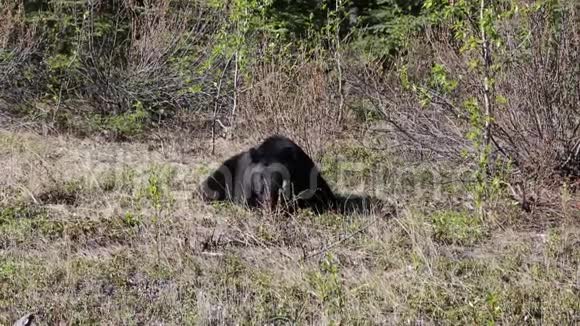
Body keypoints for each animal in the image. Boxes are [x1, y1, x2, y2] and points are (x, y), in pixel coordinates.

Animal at [199, 134, 336, 213]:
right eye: (260, 178)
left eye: (281, 179)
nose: (268, 202)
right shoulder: (244, 184)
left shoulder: (306, 175)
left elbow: (321, 197)